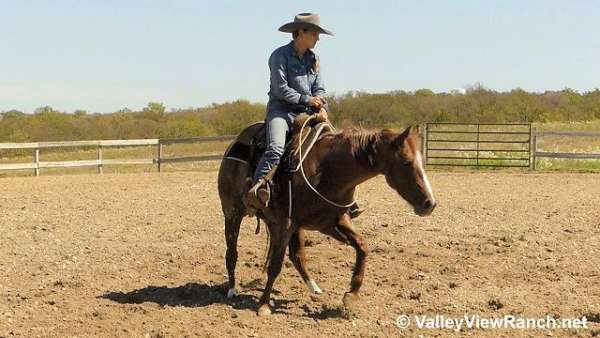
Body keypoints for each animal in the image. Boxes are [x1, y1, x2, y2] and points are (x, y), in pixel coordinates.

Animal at [217, 119, 436, 316]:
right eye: (407, 162)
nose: (430, 204)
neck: (327, 170)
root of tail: (231, 147)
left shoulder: (331, 222)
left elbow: (362, 246)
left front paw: (352, 294)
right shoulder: (286, 224)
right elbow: (275, 265)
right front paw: (263, 305)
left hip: (279, 224)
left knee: (297, 256)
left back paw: (315, 288)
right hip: (233, 213)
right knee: (232, 253)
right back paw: (232, 289)